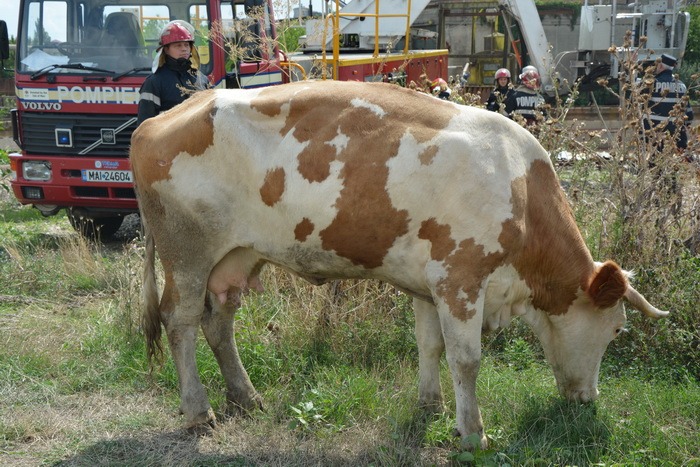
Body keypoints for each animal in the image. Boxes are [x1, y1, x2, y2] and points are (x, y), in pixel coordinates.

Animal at [130, 80, 668, 449]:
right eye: (617, 329)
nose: (589, 400)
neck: (518, 189)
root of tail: (161, 118)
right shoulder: (460, 278)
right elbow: (466, 360)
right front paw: (473, 434)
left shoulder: (427, 283)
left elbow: (429, 346)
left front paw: (430, 405)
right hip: (188, 254)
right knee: (180, 323)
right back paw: (198, 410)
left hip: (237, 257)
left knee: (218, 323)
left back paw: (246, 397)